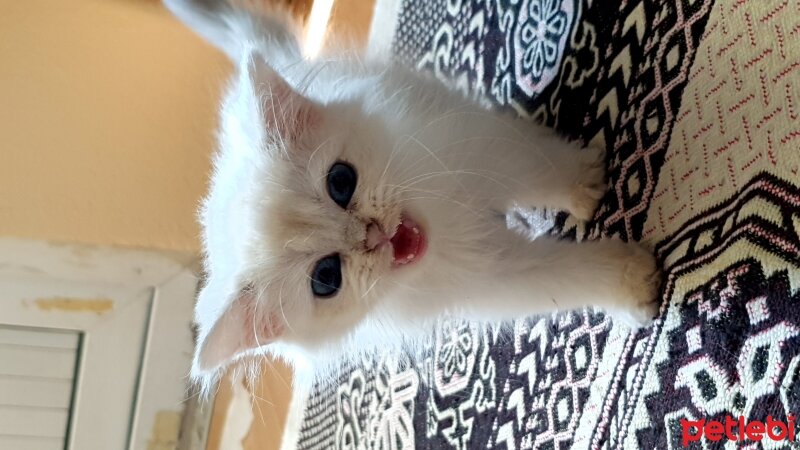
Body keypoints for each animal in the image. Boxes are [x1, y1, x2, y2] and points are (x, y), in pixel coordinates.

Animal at [164, 0, 664, 390]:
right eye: (326, 278)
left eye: (341, 182)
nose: (371, 234)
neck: (443, 219)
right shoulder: (491, 276)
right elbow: (566, 276)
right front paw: (634, 283)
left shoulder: (487, 150)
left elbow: (545, 172)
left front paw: (587, 185)